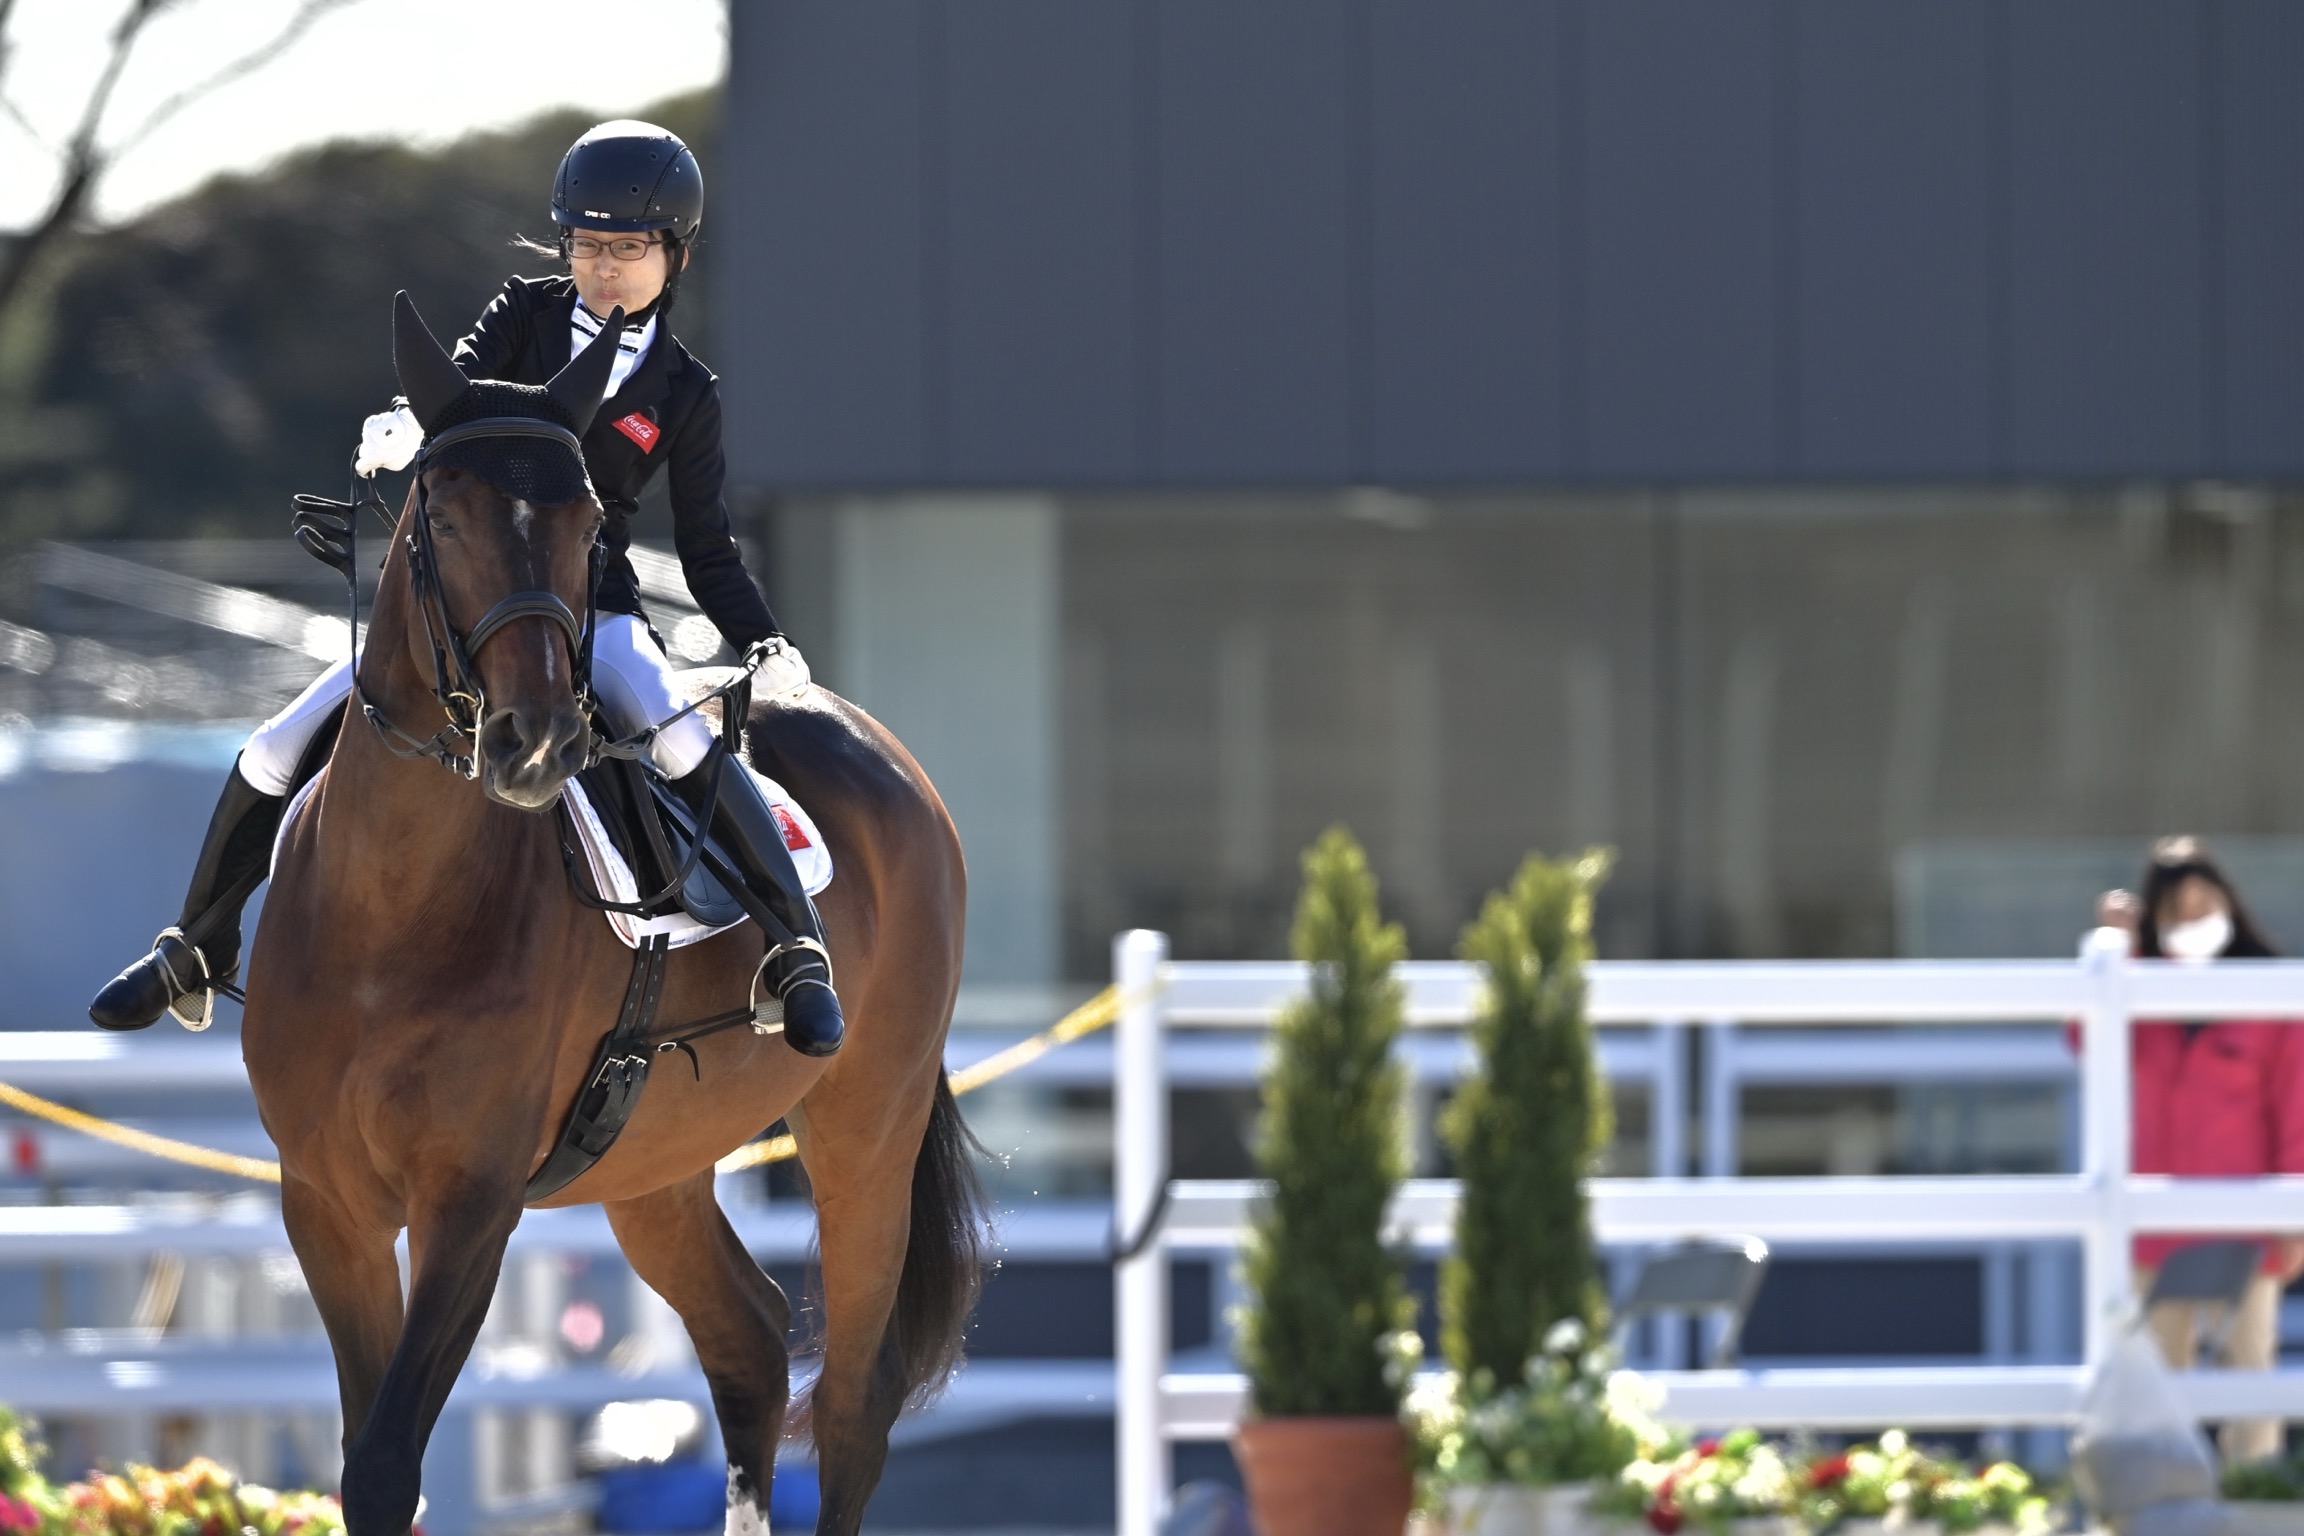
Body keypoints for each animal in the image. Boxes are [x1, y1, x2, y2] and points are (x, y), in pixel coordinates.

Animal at [243, 291, 981, 1536]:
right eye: (440, 510)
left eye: (589, 512)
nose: (537, 744)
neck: (389, 912)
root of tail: (882, 752)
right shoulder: (327, 1203)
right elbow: (361, 1462)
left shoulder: (471, 1203)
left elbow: (387, 1461)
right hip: (656, 1164)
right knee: (748, 1343)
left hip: (864, 1128)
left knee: (850, 1406)